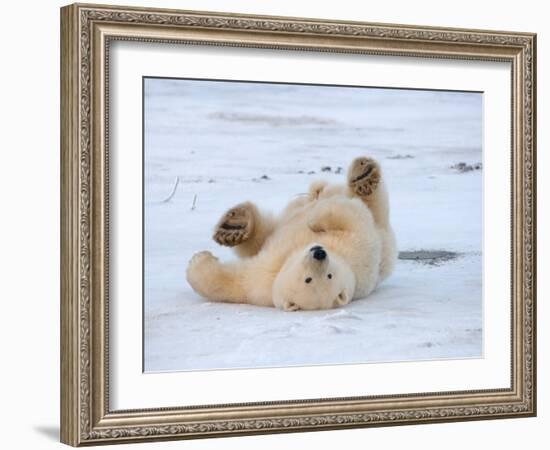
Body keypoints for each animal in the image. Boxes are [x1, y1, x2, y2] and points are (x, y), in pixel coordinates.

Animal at [188, 156, 398, 312]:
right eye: (308, 279)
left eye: (328, 276)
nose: (319, 253)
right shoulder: (263, 280)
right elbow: (236, 282)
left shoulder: (358, 249)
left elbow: (351, 216)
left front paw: (197, 261)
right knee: (264, 233)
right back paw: (234, 226)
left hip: (382, 232)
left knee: (372, 204)